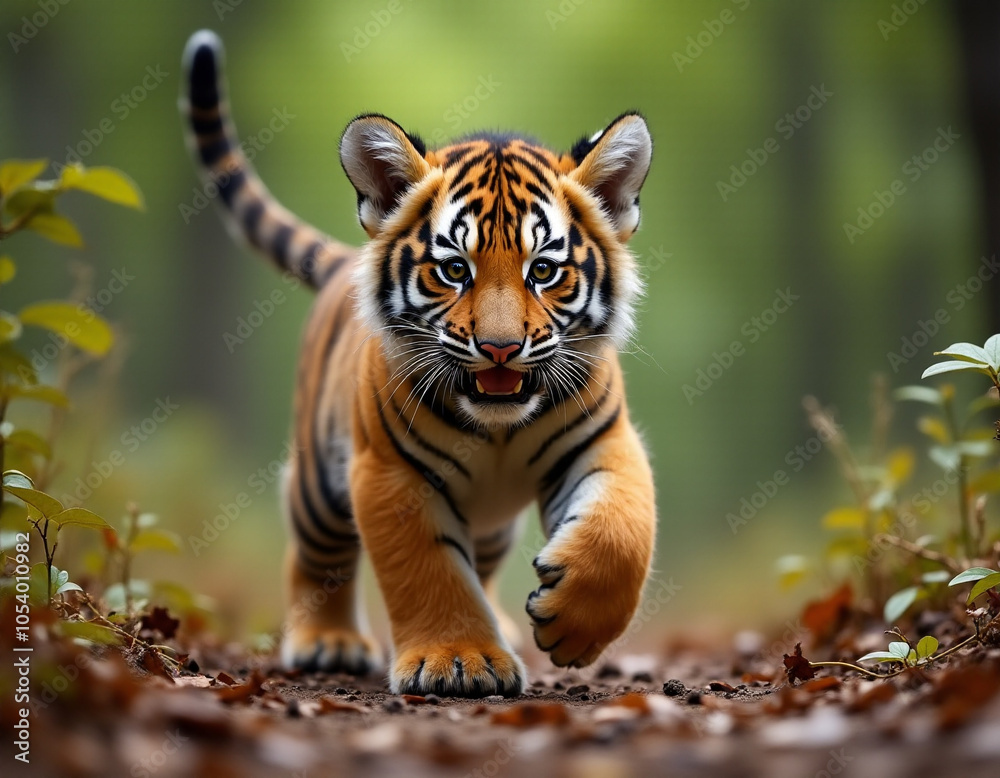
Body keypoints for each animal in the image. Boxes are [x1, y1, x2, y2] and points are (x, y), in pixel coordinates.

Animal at [181, 29, 657, 698]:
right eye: (454, 268)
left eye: (543, 270)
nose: (501, 348)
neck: (497, 428)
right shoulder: (389, 474)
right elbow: (428, 568)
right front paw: (458, 661)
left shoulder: (604, 440)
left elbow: (621, 529)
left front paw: (573, 626)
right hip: (319, 487)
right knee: (315, 557)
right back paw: (327, 641)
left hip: (490, 524)